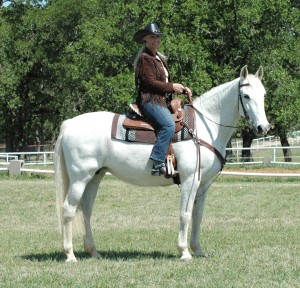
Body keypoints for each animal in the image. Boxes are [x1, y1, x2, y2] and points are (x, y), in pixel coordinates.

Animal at [54, 66, 270, 264]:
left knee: (86, 210)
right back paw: (70, 255)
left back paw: (94, 252)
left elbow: (198, 216)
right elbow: (185, 214)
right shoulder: (190, 180)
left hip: (95, 177)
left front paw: (198, 250)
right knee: (68, 210)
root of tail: (68, 125)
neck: (204, 127)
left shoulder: (203, 184)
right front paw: (184, 252)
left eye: (263, 94)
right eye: (246, 95)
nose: (263, 127)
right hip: (80, 178)